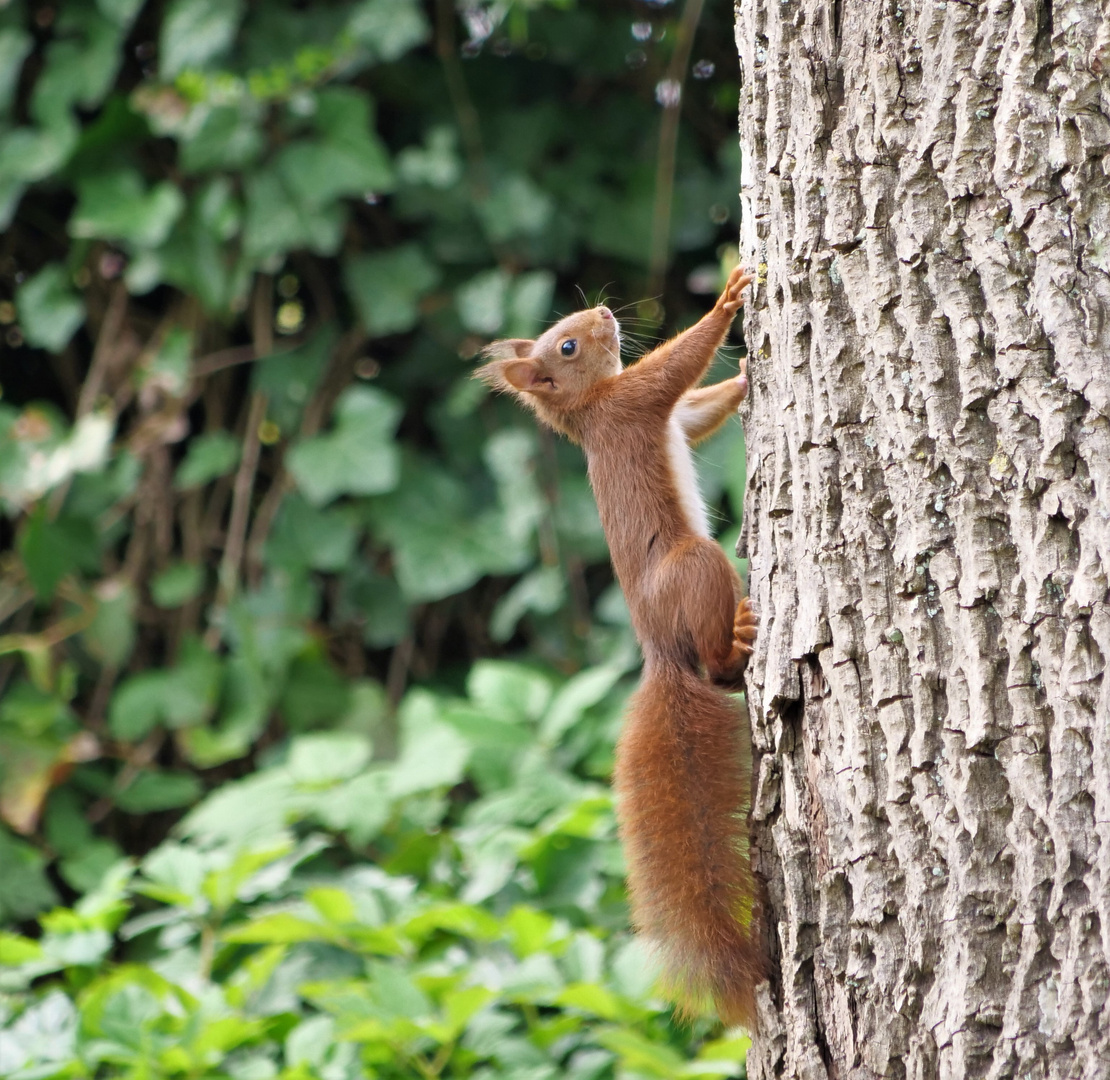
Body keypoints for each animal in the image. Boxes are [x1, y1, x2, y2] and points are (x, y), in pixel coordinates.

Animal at [477, 265, 763, 1025]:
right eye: (569, 346)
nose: (604, 311)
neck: (589, 408)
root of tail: (659, 650)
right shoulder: (636, 401)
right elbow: (676, 368)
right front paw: (727, 299)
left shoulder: (667, 417)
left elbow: (695, 410)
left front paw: (746, 374)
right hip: (697, 565)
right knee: (715, 668)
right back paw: (737, 646)